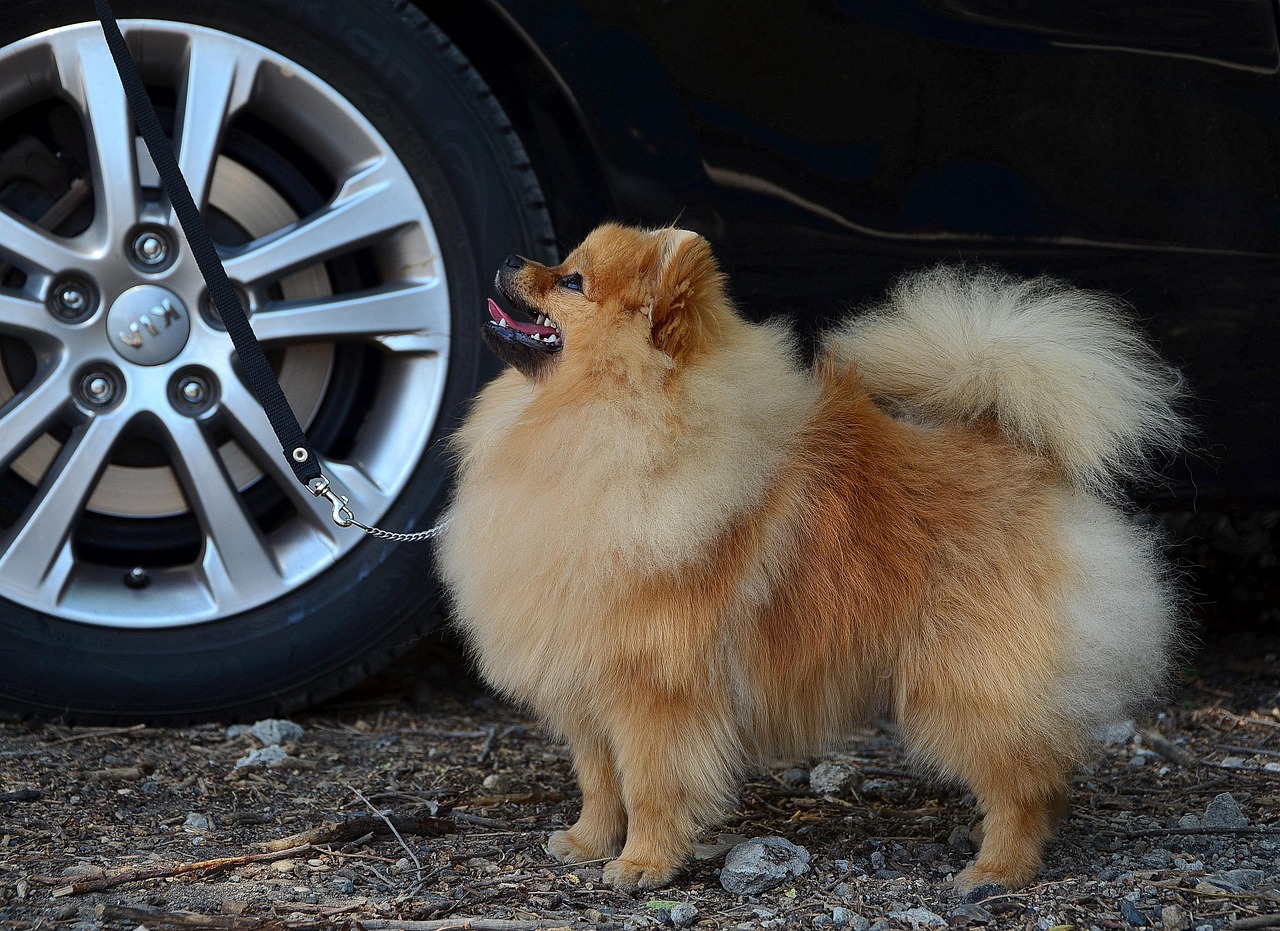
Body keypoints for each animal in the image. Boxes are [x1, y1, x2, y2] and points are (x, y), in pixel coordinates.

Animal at [440, 224, 1187, 896]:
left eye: (571, 280)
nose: (509, 258)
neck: (600, 425)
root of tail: (1024, 456)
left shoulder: (655, 690)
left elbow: (650, 786)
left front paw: (642, 863)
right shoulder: (588, 682)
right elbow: (599, 780)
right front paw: (588, 840)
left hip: (967, 680)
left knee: (1022, 782)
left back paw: (995, 869)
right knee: (1041, 770)